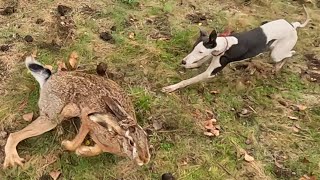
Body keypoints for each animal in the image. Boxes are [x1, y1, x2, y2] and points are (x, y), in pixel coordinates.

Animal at [162, 5, 310, 93]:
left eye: (200, 51)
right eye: (193, 48)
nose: (183, 61)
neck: (225, 44)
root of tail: (293, 26)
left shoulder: (210, 73)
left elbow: (188, 80)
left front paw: (171, 87)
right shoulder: (213, 55)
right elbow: (198, 63)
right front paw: (188, 65)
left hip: (277, 53)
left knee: (290, 53)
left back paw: (279, 66)